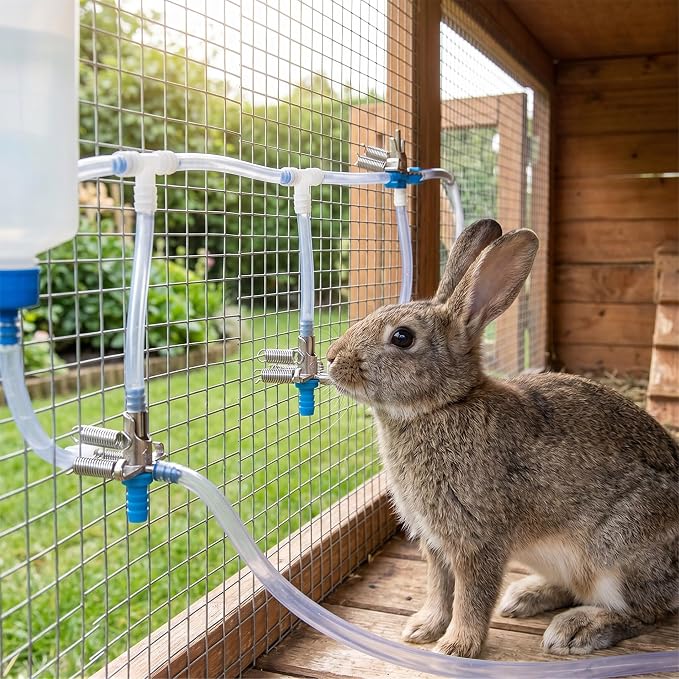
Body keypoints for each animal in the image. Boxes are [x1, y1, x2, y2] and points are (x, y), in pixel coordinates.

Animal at [326, 219, 679, 659]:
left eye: (402, 337)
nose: (331, 357)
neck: (444, 405)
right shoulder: (435, 544)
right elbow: (439, 588)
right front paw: (422, 629)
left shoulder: (477, 540)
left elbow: (471, 597)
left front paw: (455, 648)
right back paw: (526, 595)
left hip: (618, 554)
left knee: (647, 611)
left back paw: (577, 629)